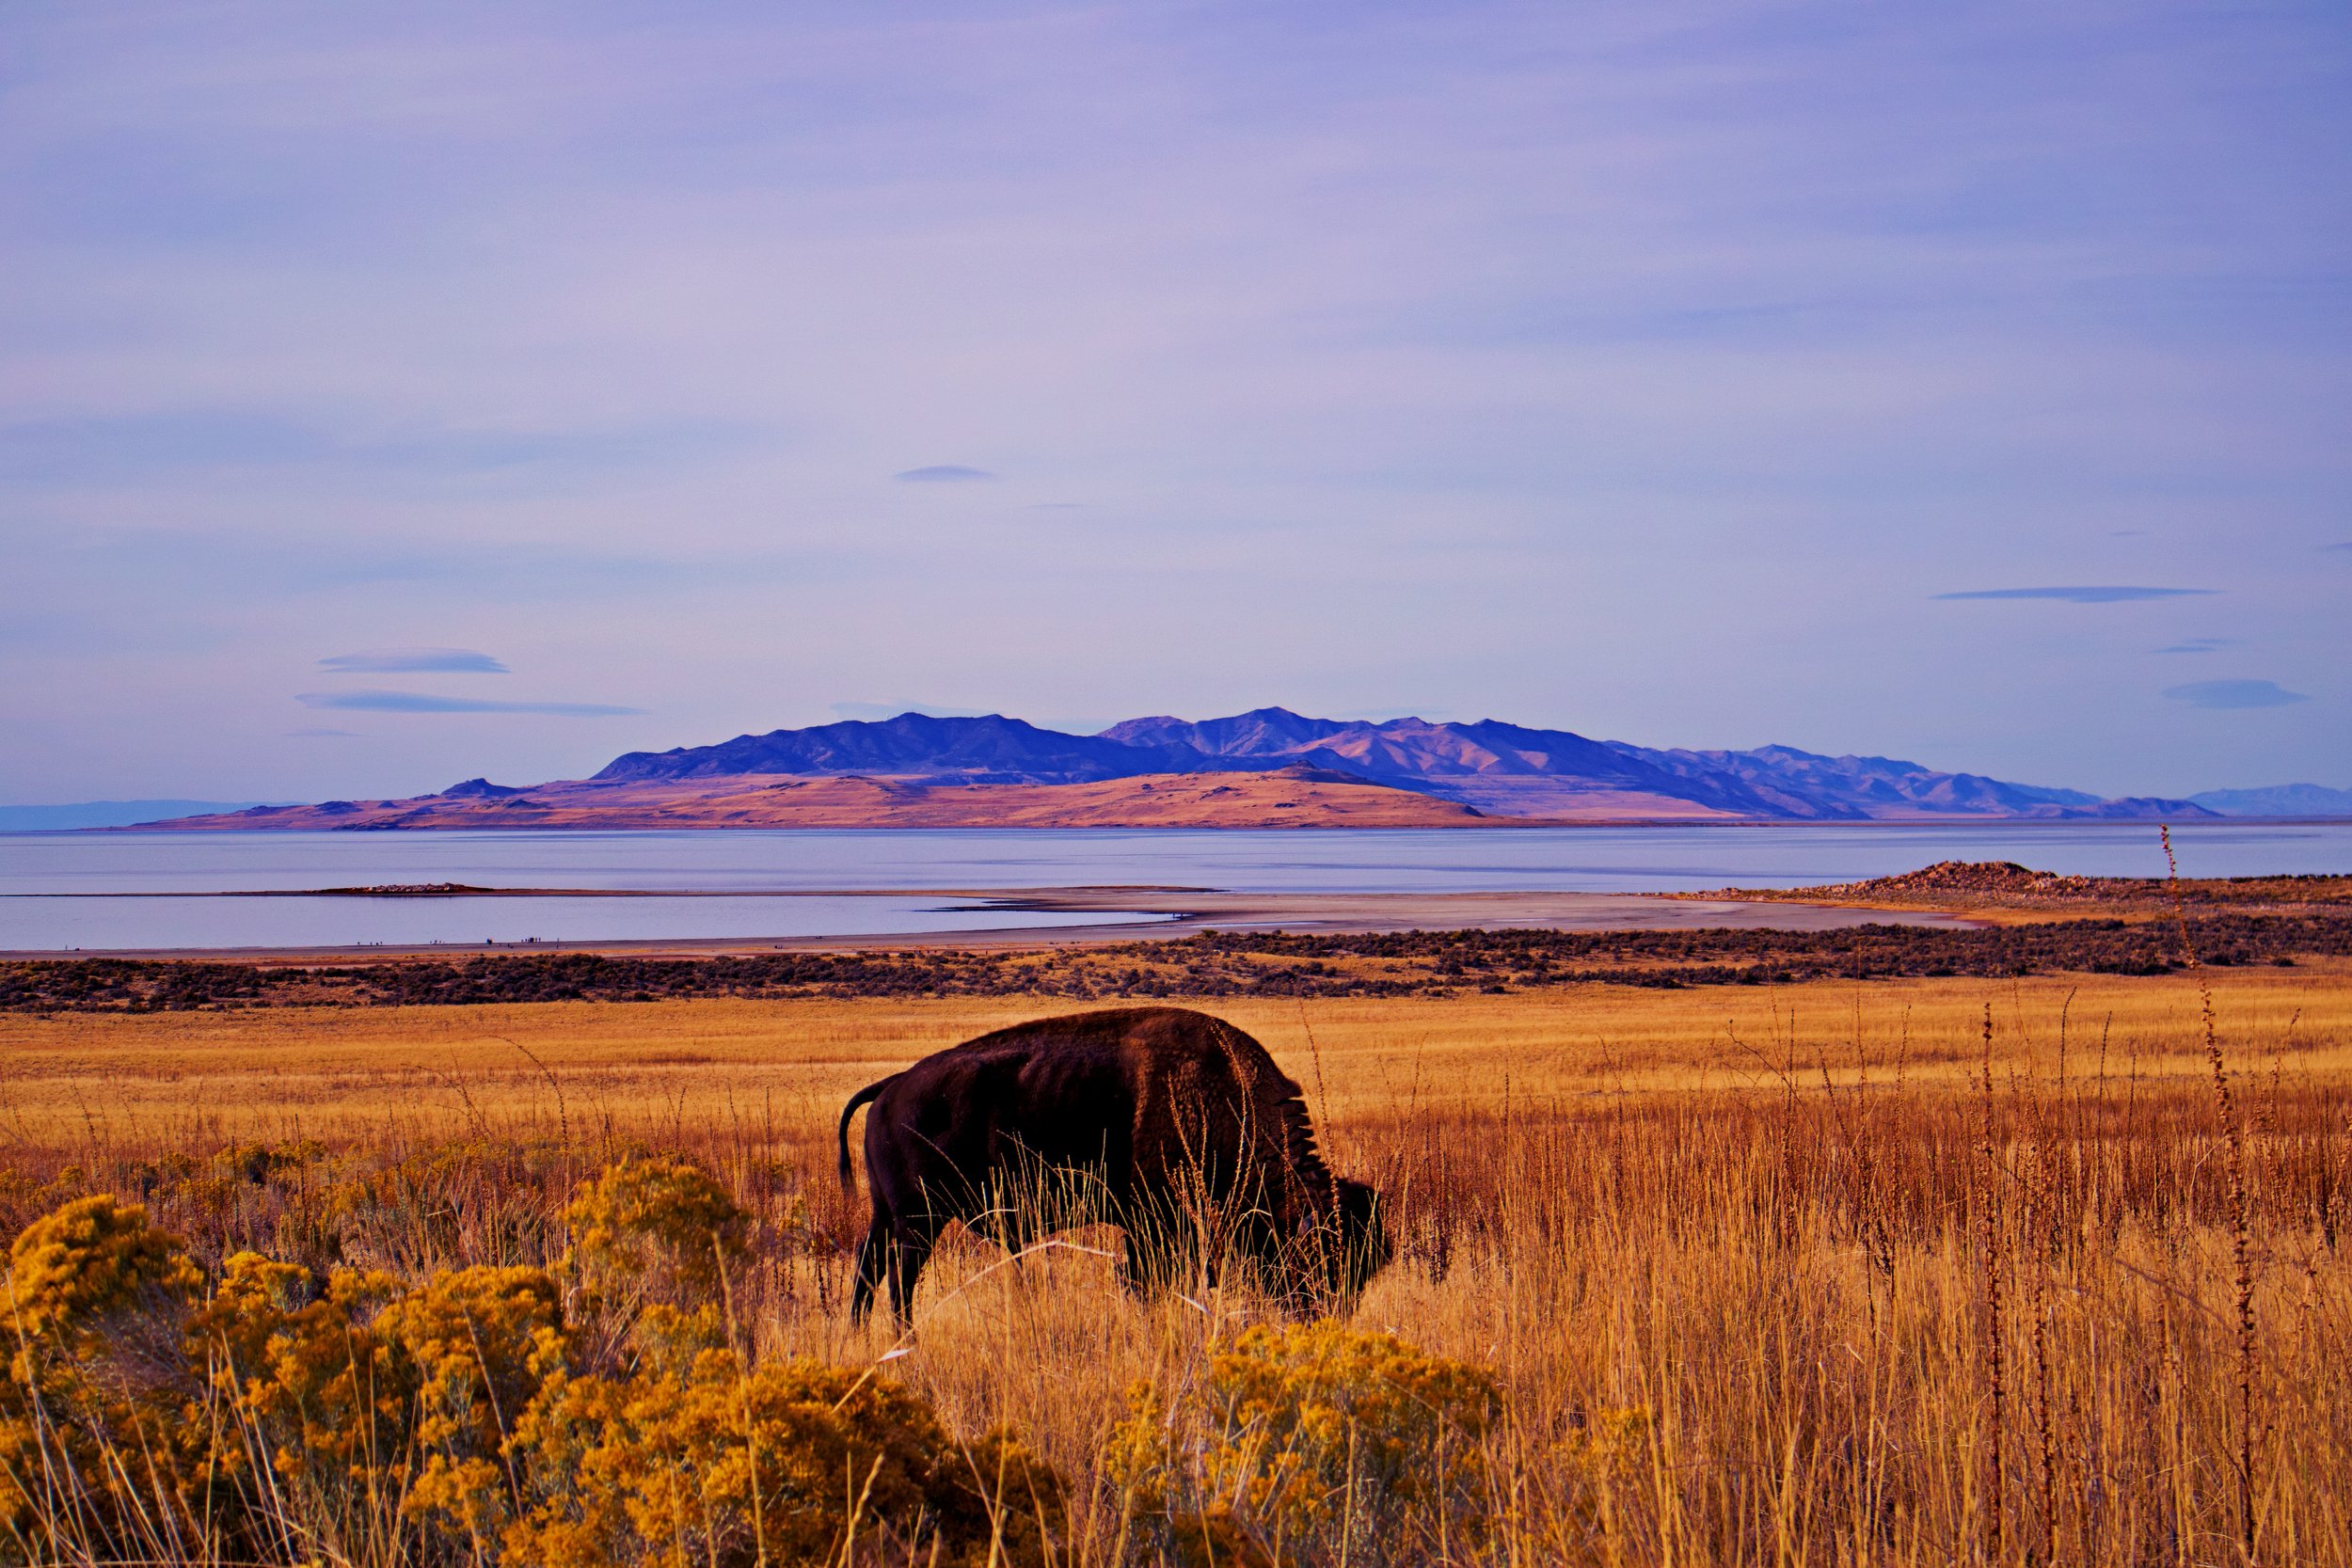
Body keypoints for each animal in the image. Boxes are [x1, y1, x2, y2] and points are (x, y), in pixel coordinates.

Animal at [837, 1006, 1390, 1326]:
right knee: (899, 1283)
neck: (1224, 1098)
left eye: (1365, 1270)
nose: (1325, 1320)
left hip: (888, 1217)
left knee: (868, 1271)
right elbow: (1146, 1284)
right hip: (919, 1221)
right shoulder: (1153, 1226)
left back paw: (860, 1336)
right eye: (1322, 1258)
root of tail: (890, 1087)